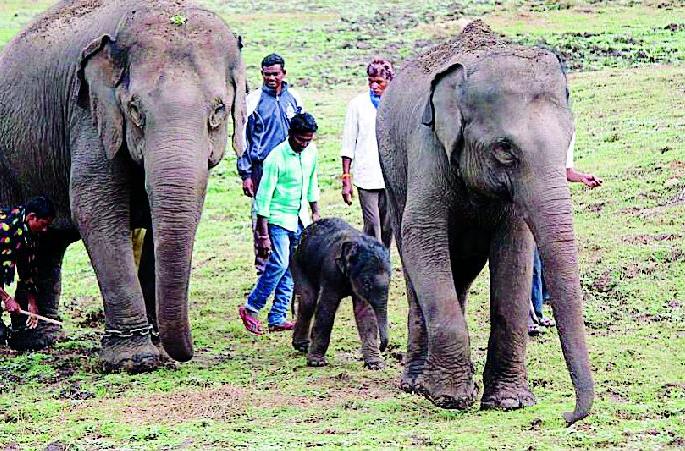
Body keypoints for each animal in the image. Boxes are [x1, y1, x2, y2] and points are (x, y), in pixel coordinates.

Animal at [0, 0, 246, 372]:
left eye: (218, 110)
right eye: (134, 109)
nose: (184, 354)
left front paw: (158, 350)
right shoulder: (89, 115)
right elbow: (95, 211)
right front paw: (135, 360)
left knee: (45, 243)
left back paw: (38, 340)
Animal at [291, 218, 390, 369]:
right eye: (367, 284)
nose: (382, 347)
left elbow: (364, 312)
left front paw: (375, 364)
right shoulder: (330, 271)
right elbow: (327, 308)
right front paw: (316, 363)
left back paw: (302, 346)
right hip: (297, 262)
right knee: (308, 300)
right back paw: (302, 346)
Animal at [376, 21, 594, 424]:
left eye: (568, 141)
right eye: (505, 149)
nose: (567, 416)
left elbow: (515, 249)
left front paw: (510, 402)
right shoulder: (427, 146)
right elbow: (420, 234)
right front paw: (448, 398)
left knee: (461, 269)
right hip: (390, 171)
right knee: (412, 259)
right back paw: (415, 384)